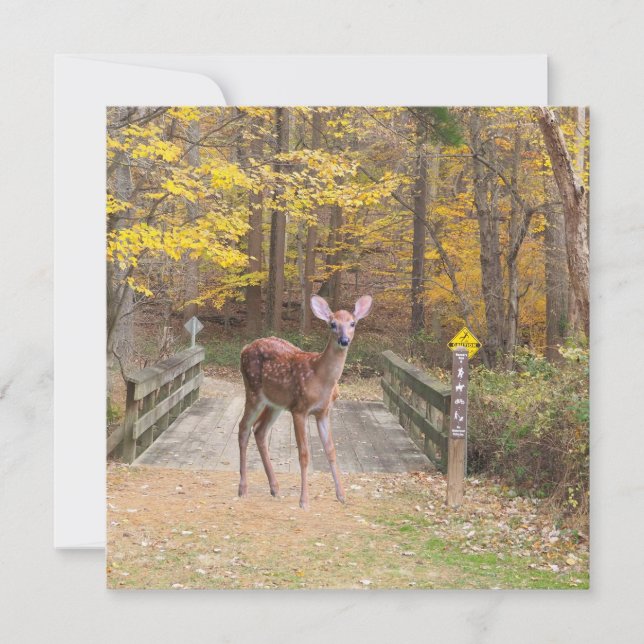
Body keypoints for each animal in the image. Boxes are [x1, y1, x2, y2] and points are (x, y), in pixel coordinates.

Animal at [237, 294, 373, 509]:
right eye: (332, 324)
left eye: (353, 323)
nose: (344, 340)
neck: (320, 379)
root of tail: (243, 349)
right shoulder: (299, 409)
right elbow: (304, 454)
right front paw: (304, 501)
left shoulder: (323, 412)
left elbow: (331, 451)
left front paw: (342, 496)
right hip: (252, 390)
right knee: (243, 428)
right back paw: (243, 489)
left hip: (275, 403)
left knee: (259, 430)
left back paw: (275, 487)